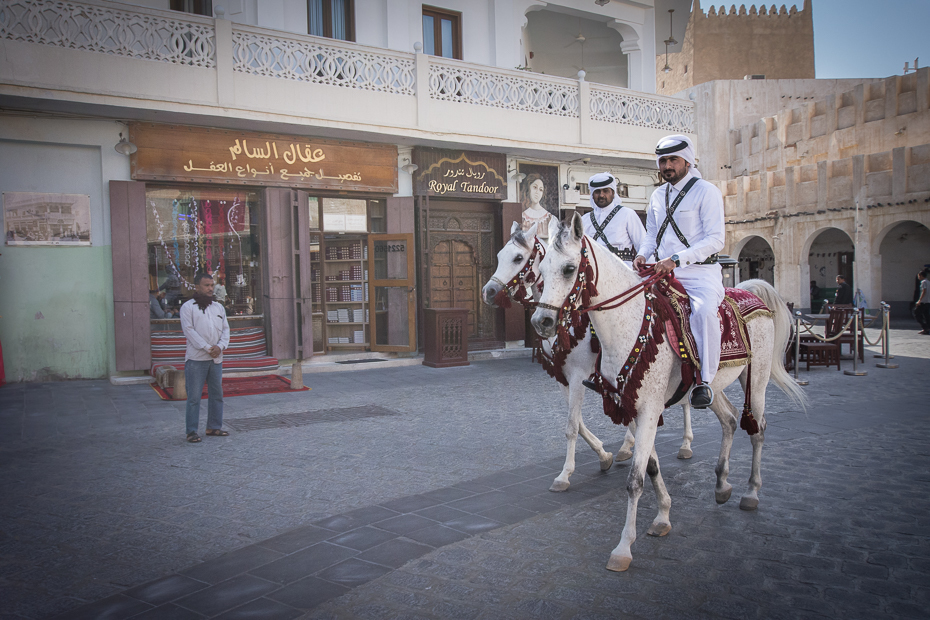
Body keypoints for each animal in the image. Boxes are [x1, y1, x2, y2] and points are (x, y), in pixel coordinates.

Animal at [482, 223, 692, 494]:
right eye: (499, 256)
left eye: (518, 258)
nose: (488, 292)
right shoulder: (563, 378)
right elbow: (578, 422)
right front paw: (604, 456)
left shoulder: (578, 375)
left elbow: (572, 426)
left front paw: (565, 475)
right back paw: (627, 448)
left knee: (686, 401)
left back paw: (685, 444)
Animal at [528, 217, 804, 572]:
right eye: (541, 269)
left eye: (569, 268)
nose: (542, 321)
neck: (628, 323)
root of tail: (748, 289)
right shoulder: (633, 406)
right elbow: (651, 466)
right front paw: (662, 516)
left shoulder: (645, 408)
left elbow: (635, 479)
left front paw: (623, 548)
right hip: (712, 386)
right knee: (729, 421)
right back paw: (721, 485)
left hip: (755, 382)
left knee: (757, 430)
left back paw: (751, 493)